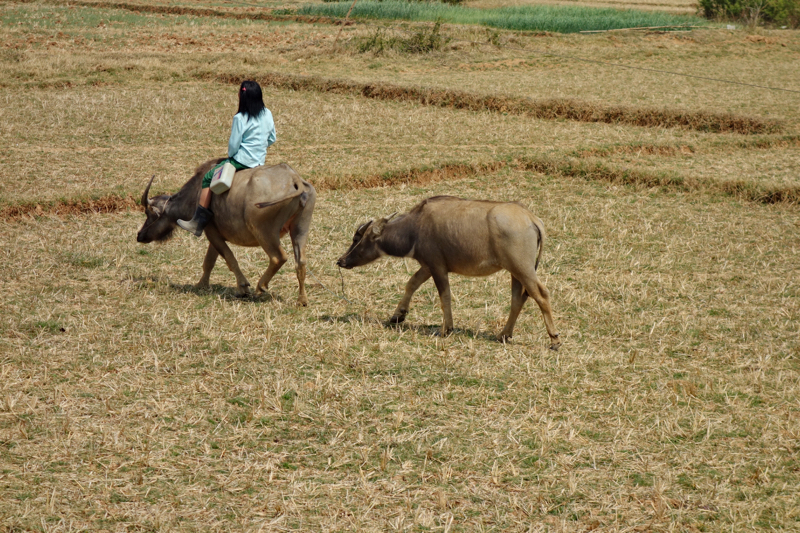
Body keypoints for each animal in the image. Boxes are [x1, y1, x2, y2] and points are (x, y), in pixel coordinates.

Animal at [137, 158, 316, 305]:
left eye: (149, 213)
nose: (139, 235)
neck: (194, 195)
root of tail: (293, 178)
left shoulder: (211, 232)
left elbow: (229, 258)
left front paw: (243, 288)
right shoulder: (214, 235)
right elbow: (209, 262)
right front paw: (201, 285)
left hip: (264, 232)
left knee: (279, 257)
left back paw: (260, 287)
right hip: (300, 230)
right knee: (300, 262)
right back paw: (302, 300)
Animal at [336, 196, 560, 349]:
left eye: (356, 239)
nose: (341, 261)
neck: (416, 226)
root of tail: (531, 218)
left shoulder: (437, 268)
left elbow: (444, 296)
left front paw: (446, 329)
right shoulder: (427, 266)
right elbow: (412, 283)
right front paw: (398, 316)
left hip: (523, 269)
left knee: (541, 295)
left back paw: (554, 339)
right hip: (515, 272)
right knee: (518, 299)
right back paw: (503, 335)